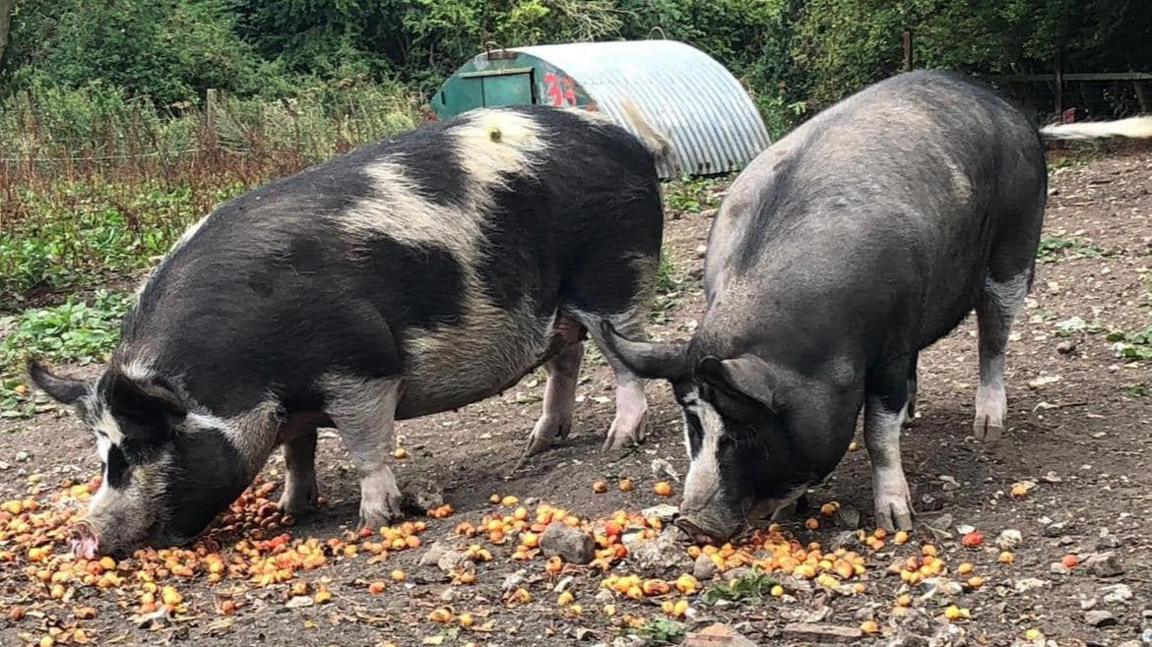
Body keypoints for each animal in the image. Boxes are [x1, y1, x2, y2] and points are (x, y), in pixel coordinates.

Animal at [31, 104, 672, 554]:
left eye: (142, 446)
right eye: (102, 452)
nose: (84, 533)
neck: (242, 375)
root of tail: (628, 141)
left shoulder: (362, 364)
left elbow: (366, 444)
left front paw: (375, 518)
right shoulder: (292, 404)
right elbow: (298, 450)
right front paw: (291, 509)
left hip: (615, 274)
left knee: (624, 359)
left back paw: (619, 441)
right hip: (560, 305)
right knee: (566, 356)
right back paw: (539, 442)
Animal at [603, 70, 1152, 541]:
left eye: (747, 431)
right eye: (693, 426)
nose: (690, 523)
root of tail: (1014, 113)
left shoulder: (888, 348)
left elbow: (877, 435)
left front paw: (895, 521)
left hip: (1016, 249)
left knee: (993, 338)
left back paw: (988, 427)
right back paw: (915, 416)